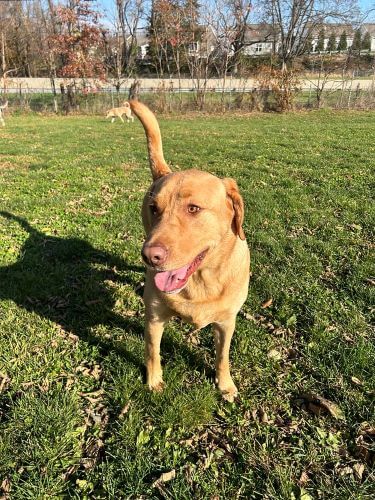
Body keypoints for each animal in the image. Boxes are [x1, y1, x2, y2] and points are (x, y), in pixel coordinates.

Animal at [131, 99, 251, 400]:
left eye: (194, 208)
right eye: (155, 208)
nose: (149, 256)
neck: (201, 281)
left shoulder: (226, 322)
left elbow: (223, 357)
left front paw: (225, 384)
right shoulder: (154, 318)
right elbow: (152, 352)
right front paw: (153, 381)